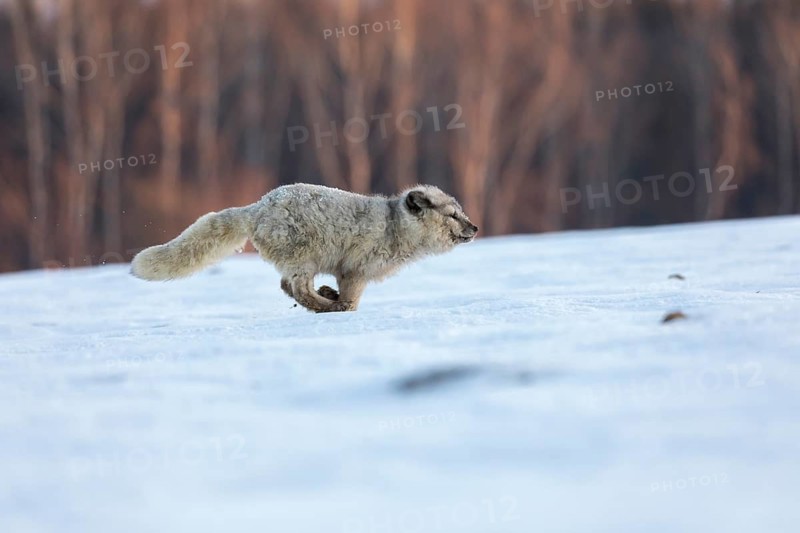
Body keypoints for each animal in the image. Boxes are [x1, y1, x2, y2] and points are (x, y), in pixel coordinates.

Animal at [130, 183, 478, 313]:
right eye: (453, 215)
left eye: (462, 212)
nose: (475, 228)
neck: (393, 226)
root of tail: (256, 207)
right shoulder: (355, 271)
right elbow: (353, 300)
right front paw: (343, 305)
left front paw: (333, 297)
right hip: (305, 256)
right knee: (295, 288)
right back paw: (328, 304)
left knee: (288, 286)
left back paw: (324, 298)